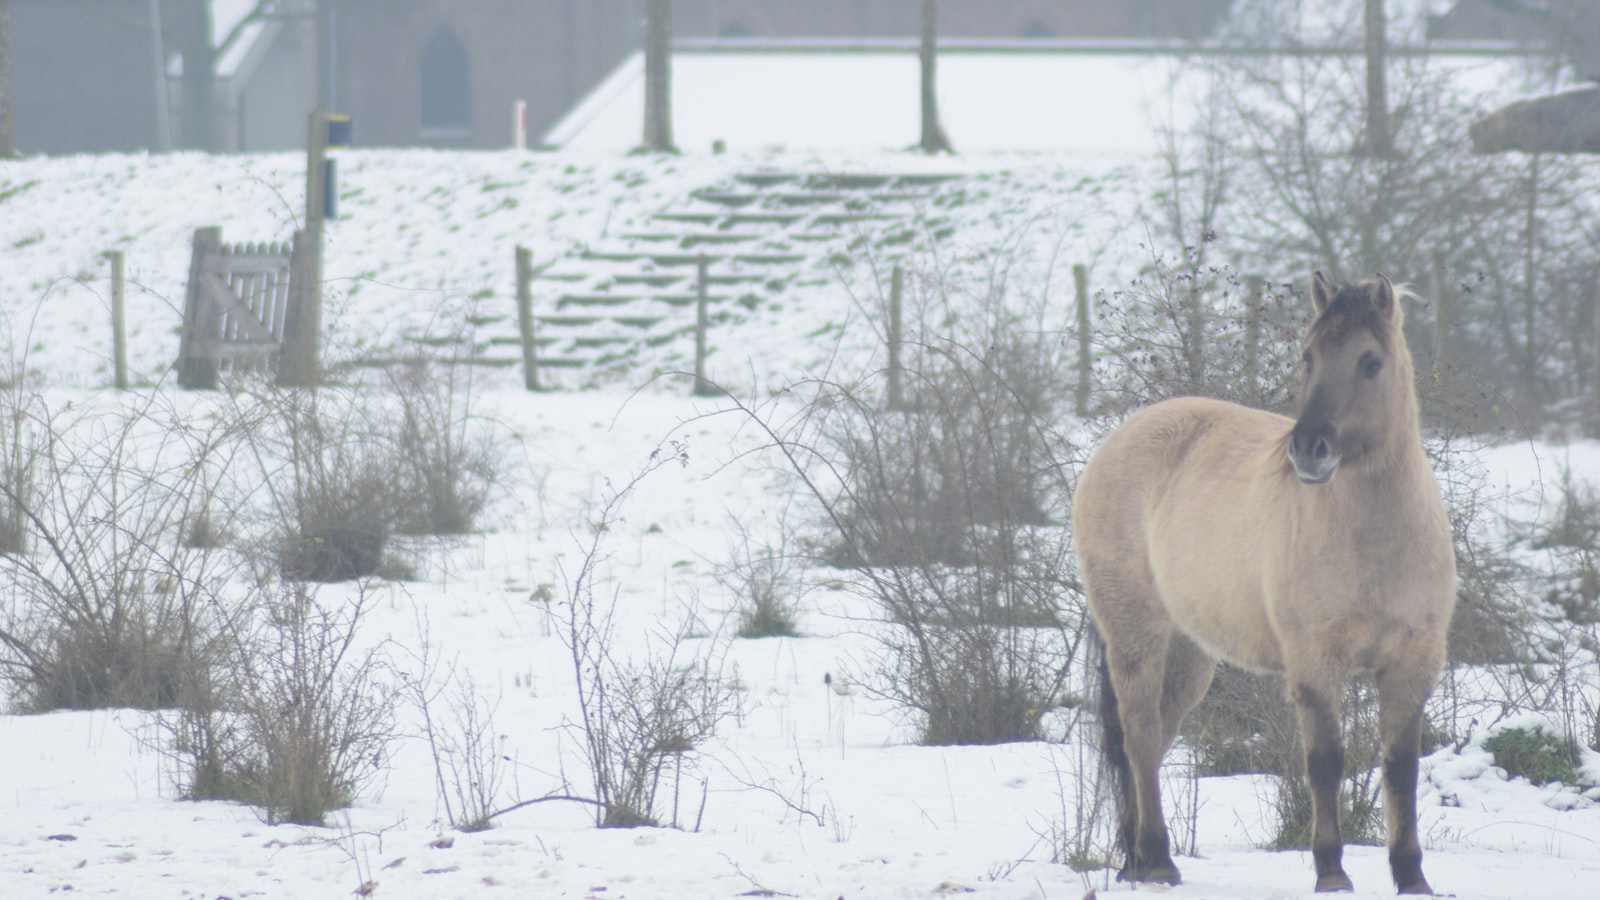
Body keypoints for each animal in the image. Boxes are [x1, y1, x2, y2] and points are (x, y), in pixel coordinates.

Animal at [1068, 267, 1459, 890]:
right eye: (1308, 357)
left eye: (1370, 362)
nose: (1308, 450)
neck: (1376, 540)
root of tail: (1119, 442)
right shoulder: (1314, 663)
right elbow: (1325, 762)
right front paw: (1331, 874)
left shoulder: (1413, 664)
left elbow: (1400, 768)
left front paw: (1412, 878)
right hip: (1135, 635)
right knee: (1139, 734)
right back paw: (1157, 859)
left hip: (1190, 654)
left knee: (1150, 742)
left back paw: (1137, 862)